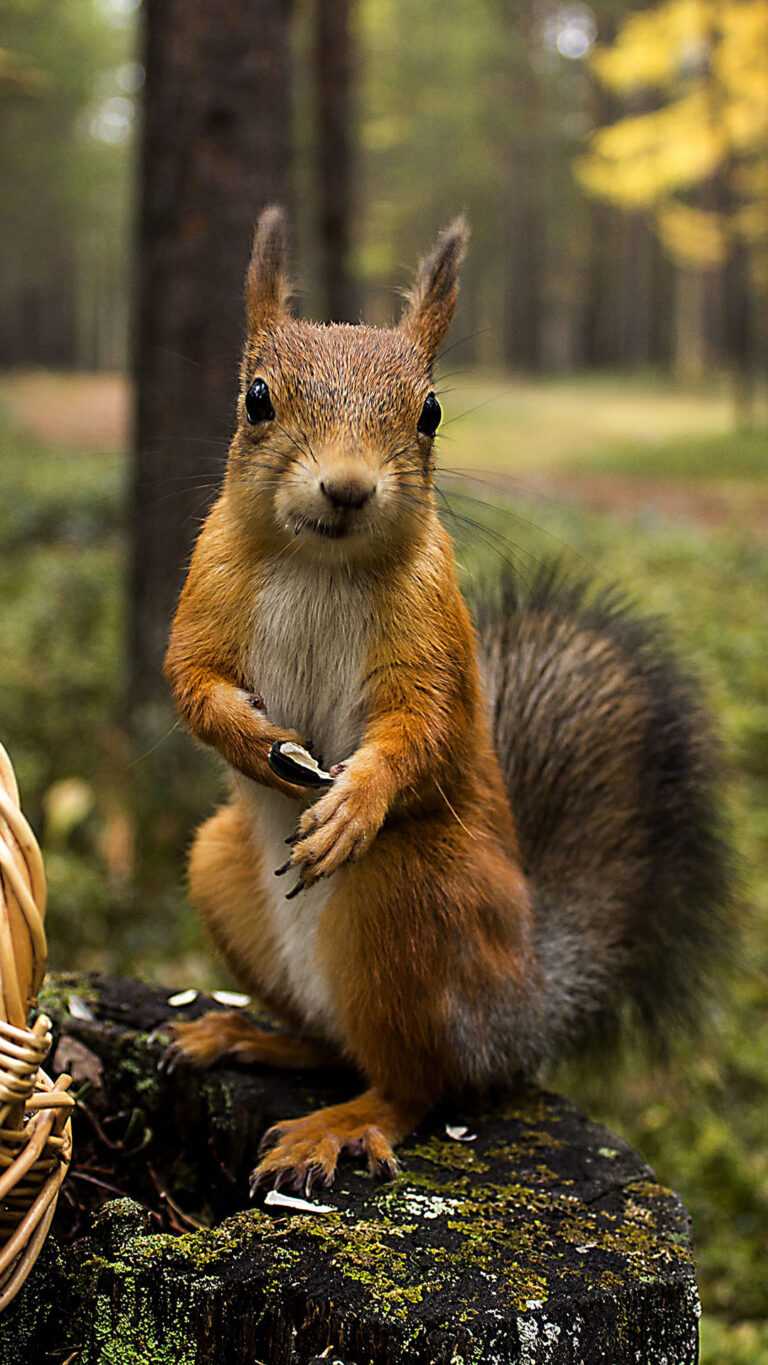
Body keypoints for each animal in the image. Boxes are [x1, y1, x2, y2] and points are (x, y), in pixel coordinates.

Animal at [164, 205, 734, 1196]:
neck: (318, 561)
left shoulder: (434, 632)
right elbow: (191, 681)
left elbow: (422, 727)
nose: (347, 487)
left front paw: (352, 801)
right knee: (334, 1043)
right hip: (220, 869)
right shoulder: (206, 591)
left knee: (416, 1082)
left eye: (429, 411)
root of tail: (523, 1008)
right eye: (257, 398)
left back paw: (341, 1123)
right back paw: (245, 1034)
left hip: (413, 897)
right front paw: (254, 741)